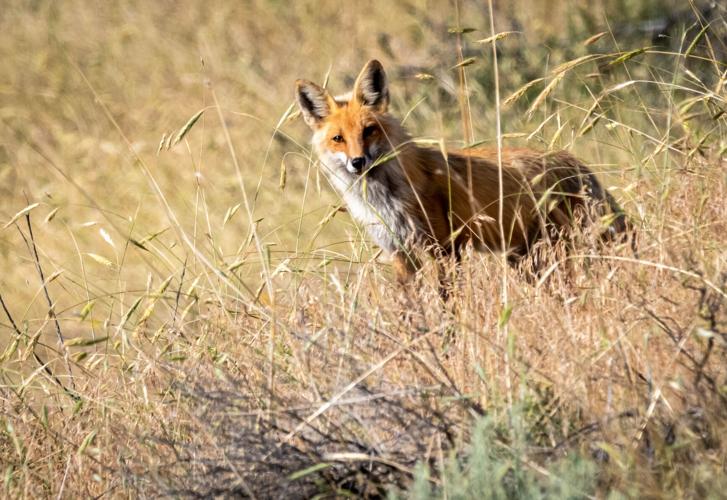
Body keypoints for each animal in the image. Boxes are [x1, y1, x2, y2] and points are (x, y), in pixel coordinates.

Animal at [295, 59, 630, 283]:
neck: (384, 198)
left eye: (369, 131)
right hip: (526, 259)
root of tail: (574, 162)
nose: (358, 162)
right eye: (338, 138)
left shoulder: (444, 248)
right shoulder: (399, 254)